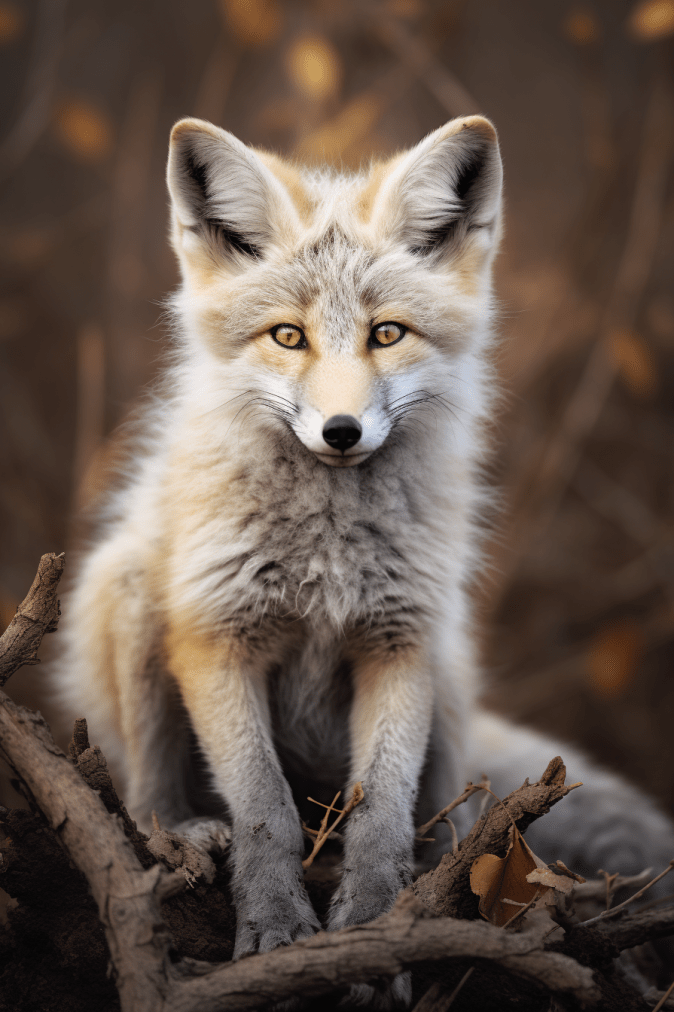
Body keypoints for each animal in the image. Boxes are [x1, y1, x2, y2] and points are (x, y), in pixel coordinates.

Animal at [55, 114, 673, 1003]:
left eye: (387, 333)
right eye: (288, 335)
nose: (341, 431)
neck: (327, 555)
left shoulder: (402, 640)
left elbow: (380, 809)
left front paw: (380, 931)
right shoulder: (218, 638)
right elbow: (266, 809)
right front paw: (276, 926)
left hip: (451, 665)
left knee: (451, 811)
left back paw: (454, 870)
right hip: (130, 597)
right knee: (143, 798)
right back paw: (184, 833)